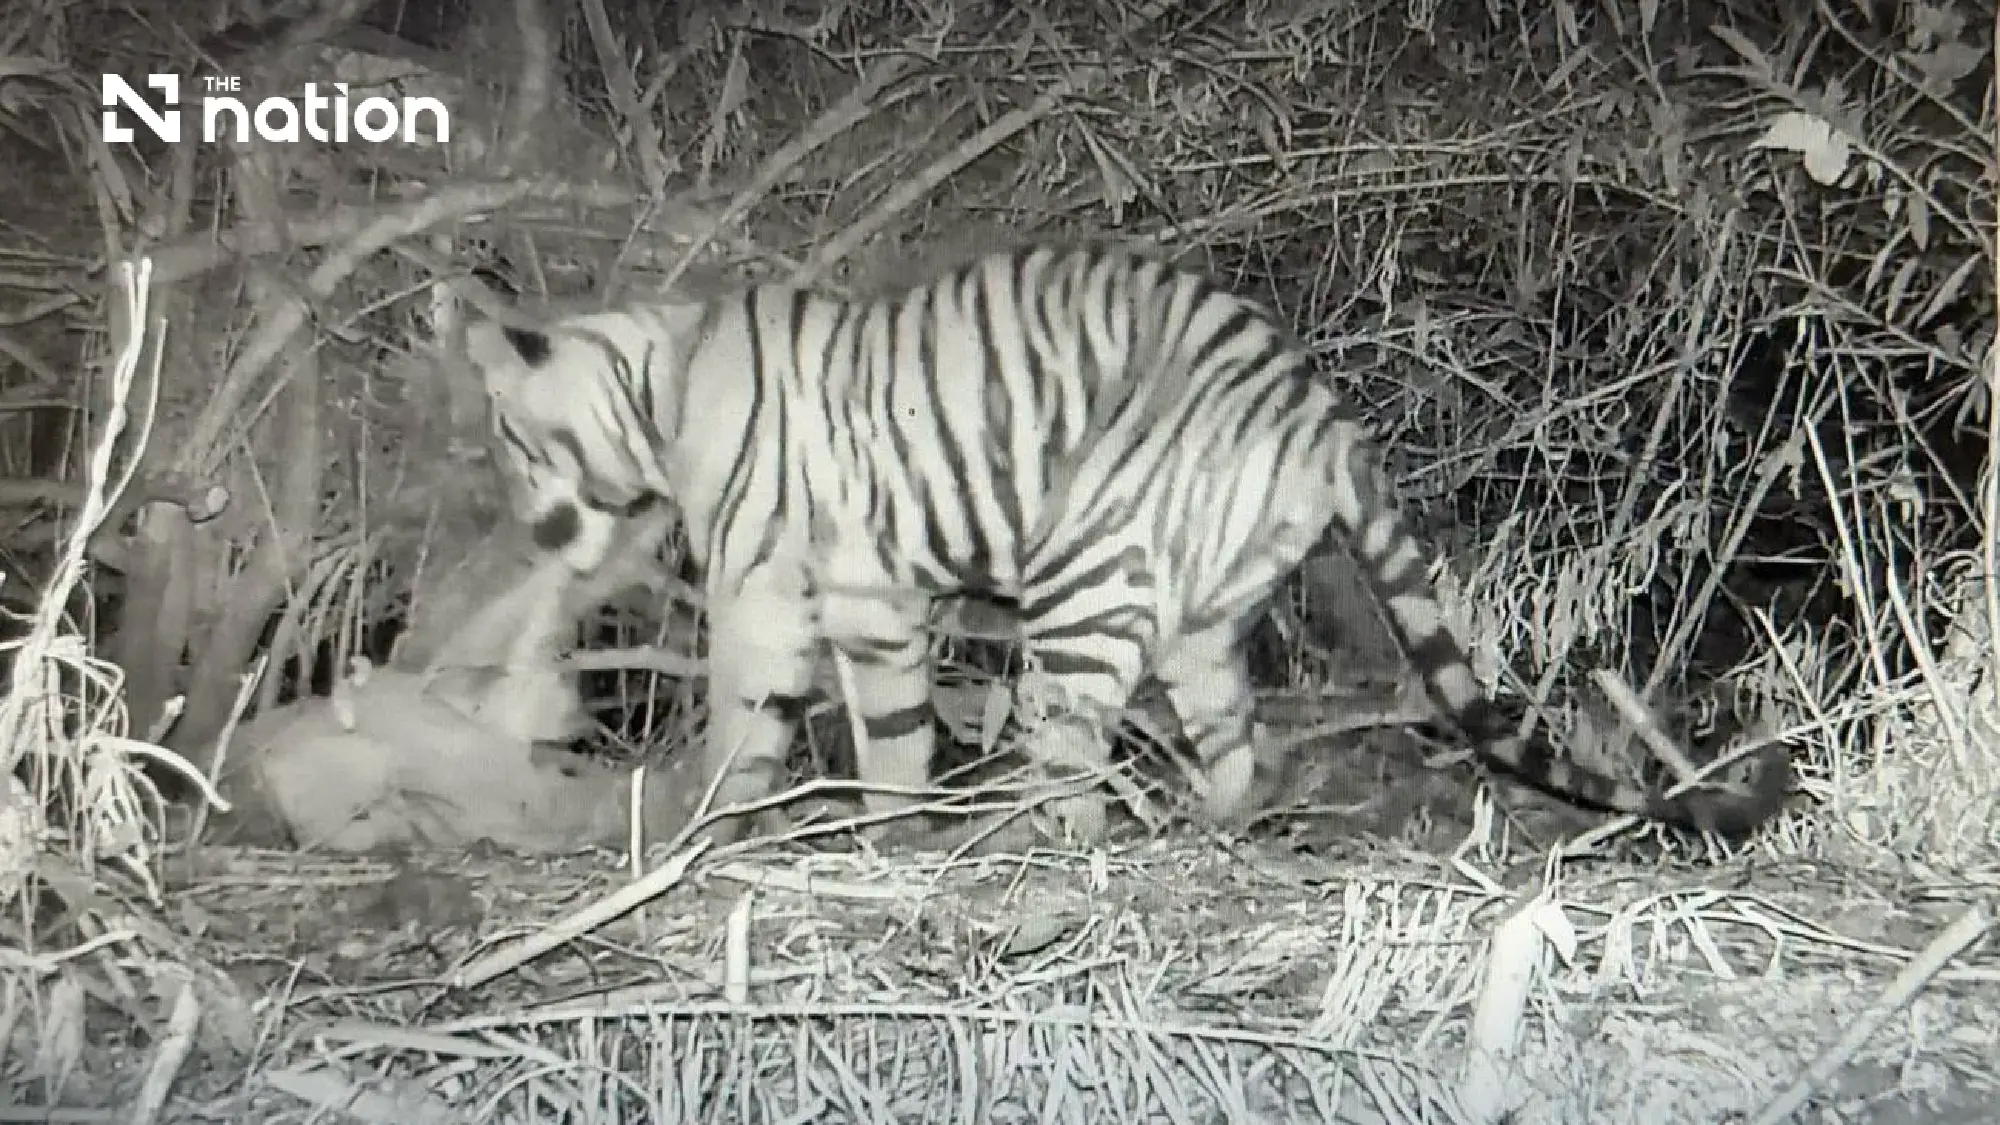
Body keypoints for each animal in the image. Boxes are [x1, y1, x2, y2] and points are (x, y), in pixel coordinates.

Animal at [457, 244, 1793, 847]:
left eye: (514, 443)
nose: (531, 525)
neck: (662, 388)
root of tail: (1318, 410)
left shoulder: (780, 594)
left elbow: (773, 729)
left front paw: (712, 834)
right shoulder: (867, 599)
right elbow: (884, 736)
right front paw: (878, 835)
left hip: (1084, 581)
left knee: (1069, 764)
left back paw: (1032, 852)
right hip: (1200, 616)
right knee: (1241, 747)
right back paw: (1207, 830)